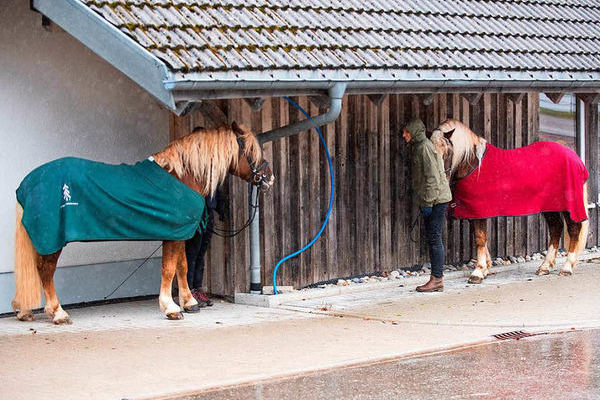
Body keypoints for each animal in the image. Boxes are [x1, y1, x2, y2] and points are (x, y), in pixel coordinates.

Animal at [432, 119, 592, 284]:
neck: (473, 164)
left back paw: (567, 268)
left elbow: (480, 239)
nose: (441, 183)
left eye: (448, 152)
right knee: (556, 228)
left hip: (567, 207)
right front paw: (486, 268)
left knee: (573, 229)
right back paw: (545, 267)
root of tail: (572, 155)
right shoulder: (473, 213)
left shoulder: (480, 212)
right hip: (550, 206)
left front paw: (478, 272)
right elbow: (481, 239)